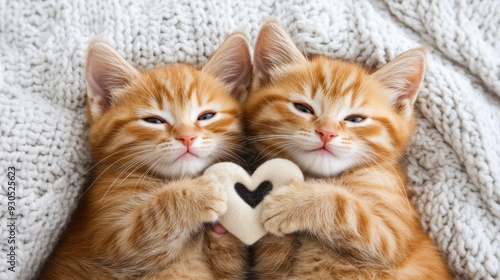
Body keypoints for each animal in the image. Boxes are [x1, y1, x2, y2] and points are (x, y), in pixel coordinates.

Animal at [42, 33, 254, 280]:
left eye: (206, 116)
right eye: (154, 120)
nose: (187, 137)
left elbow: (230, 267)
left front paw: (224, 231)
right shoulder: (112, 242)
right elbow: (154, 219)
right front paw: (201, 192)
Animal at [246, 21, 454, 280]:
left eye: (355, 119)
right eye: (303, 108)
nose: (326, 132)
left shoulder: (392, 236)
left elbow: (344, 206)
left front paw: (292, 203)